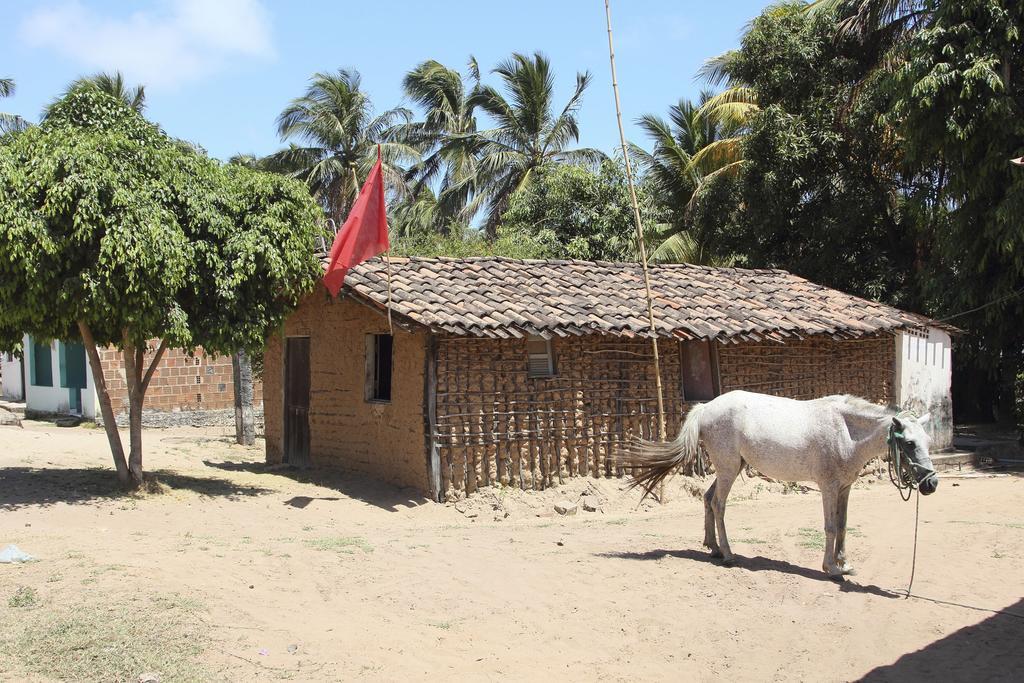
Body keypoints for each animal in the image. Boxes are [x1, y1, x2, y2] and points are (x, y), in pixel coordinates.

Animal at [622, 389, 937, 577]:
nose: (931, 484)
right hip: (728, 469)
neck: (846, 432)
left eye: (928, 441)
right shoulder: (828, 487)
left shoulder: (845, 488)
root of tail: (706, 408)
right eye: (909, 444)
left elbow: (844, 526)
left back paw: (713, 548)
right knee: (718, 503)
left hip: (730, 469)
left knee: (708, 499)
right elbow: (830, 527)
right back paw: (728, 554)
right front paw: (831, 568)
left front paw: (845, 564)